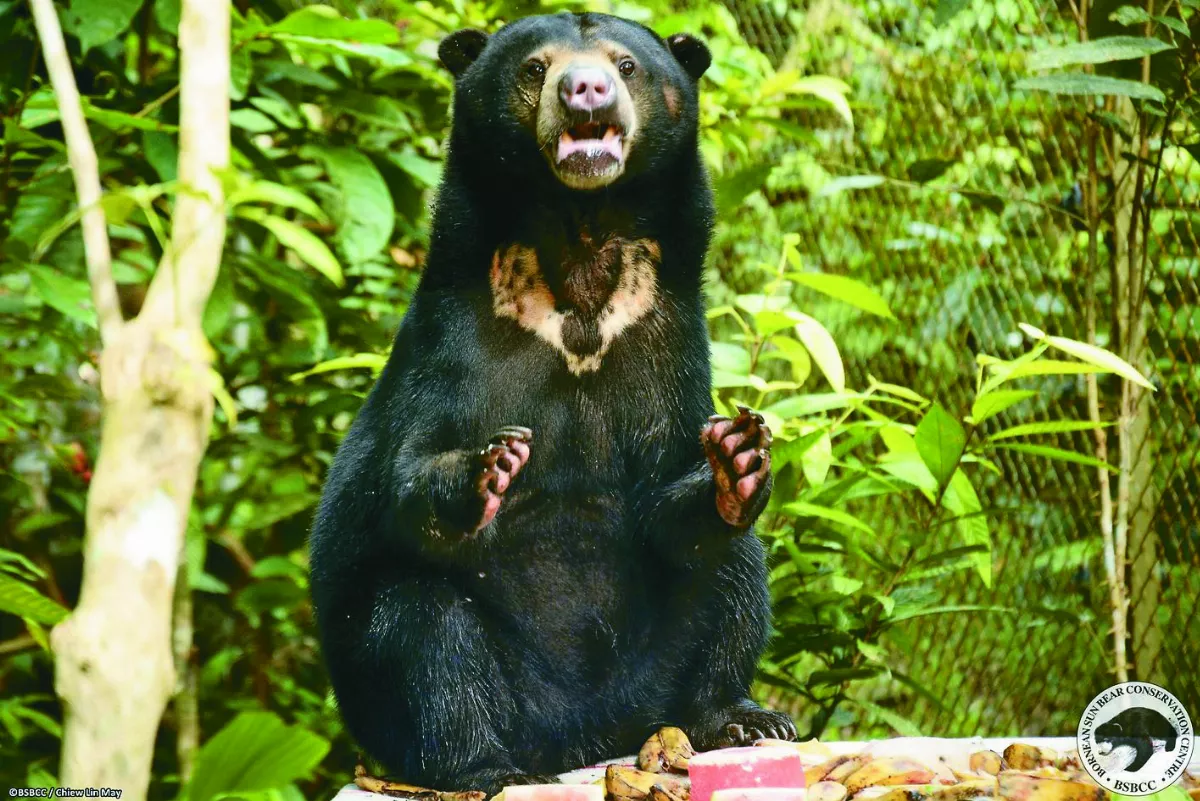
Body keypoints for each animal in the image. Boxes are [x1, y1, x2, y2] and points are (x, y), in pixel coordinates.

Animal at [308, 11, 795, 796]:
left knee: (735, 568)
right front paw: (487, 467)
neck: (580, 242)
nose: (584, 89)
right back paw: (481, 764)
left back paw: (741, 718)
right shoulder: (455, 336)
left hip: (654, 678)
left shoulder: (667, 341)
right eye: (535, 67)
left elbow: (667, 496)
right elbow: (405, 482)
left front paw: (737, 459)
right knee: (423, 626)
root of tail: (584, 740)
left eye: (626, 65)